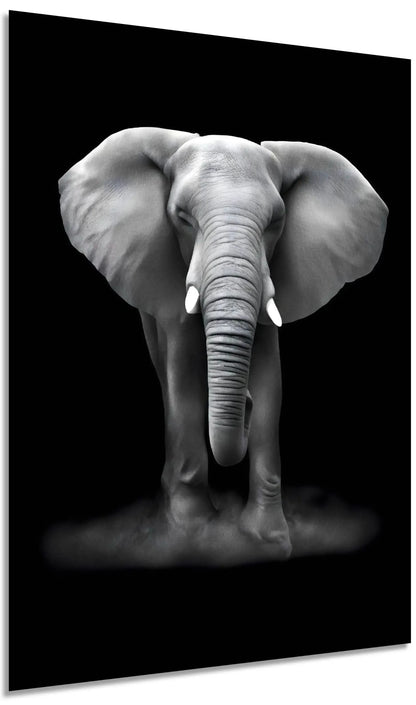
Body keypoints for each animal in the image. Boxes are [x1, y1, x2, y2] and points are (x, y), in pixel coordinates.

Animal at [58, 128, 388, 561]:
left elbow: (271, 382)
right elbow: (183, 373)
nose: (243, 403)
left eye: (276, 221)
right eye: (182, 216)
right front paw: (191, 530)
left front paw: (268, 539)